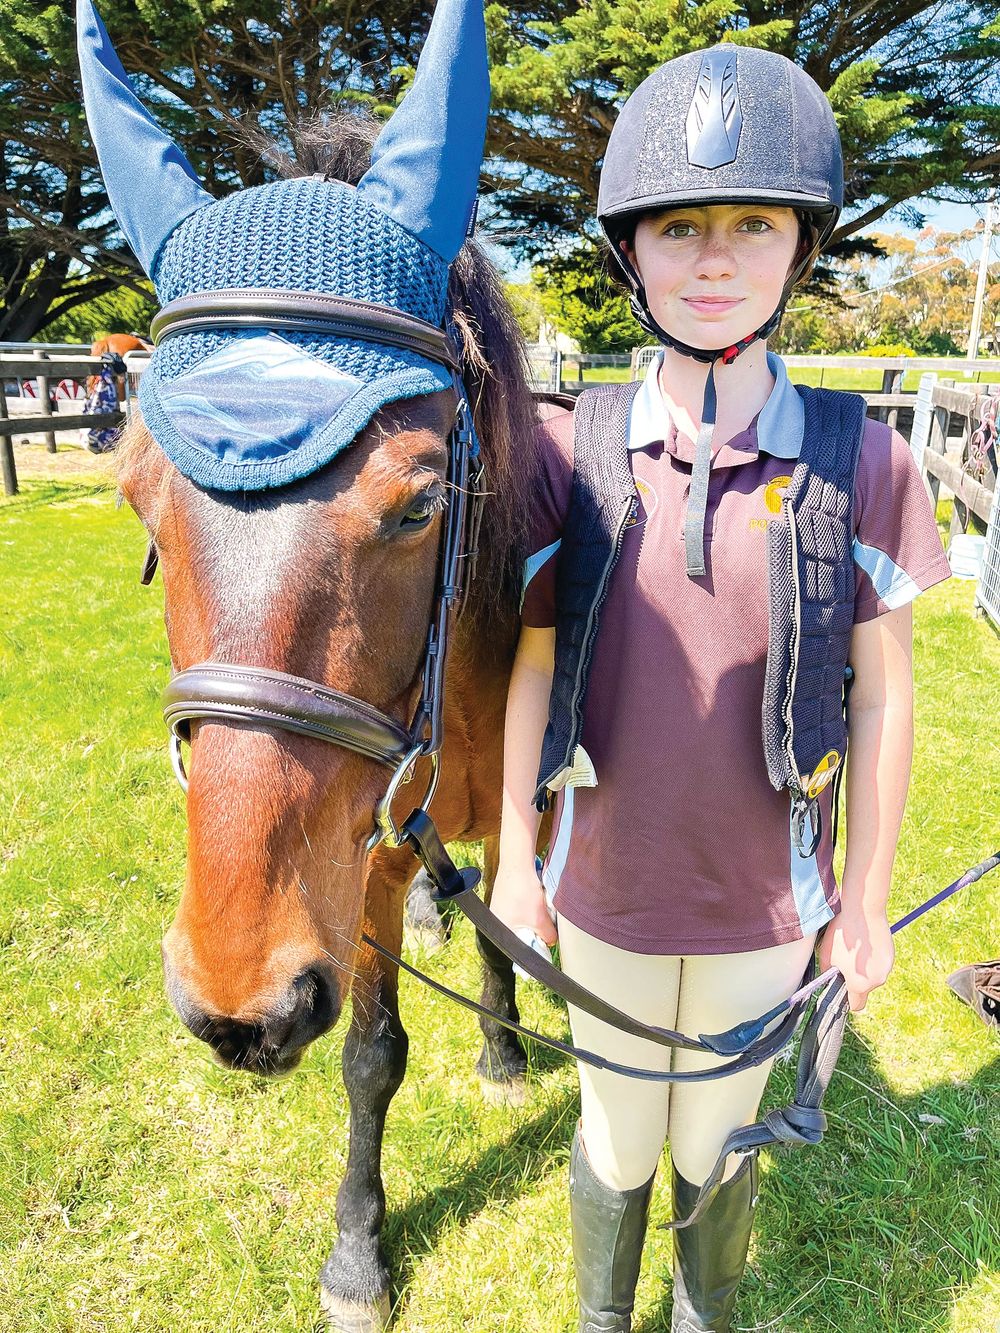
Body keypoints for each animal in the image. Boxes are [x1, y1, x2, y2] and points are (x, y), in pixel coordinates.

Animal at [113, 111, 555, 1332]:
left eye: (420, 503)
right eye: (136, 499)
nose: (238, 1004)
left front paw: (507, 1044)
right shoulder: (367, 860)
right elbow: (373, 1051)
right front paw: (359, 1250)